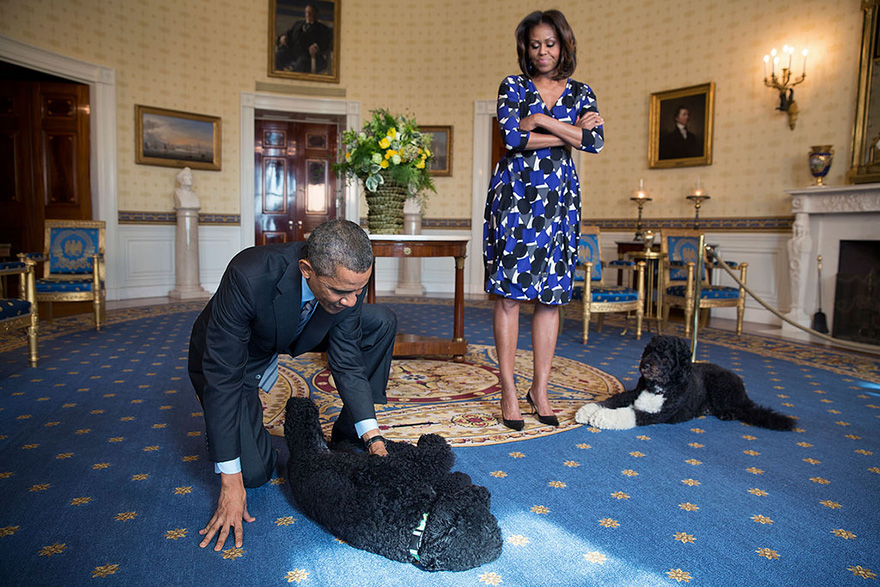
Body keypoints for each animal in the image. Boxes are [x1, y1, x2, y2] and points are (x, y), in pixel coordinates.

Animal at [282, 398, 502, 572]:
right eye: (483, 507)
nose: (484, 492)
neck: (417, 529)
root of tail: (297, 459)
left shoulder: (396, 469)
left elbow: (430, 458)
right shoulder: (398, 468)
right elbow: (428, 456)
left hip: (310, 436)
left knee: (300, 418)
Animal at [576, 336, 796, 432]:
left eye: (665, 357)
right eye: (648, 350)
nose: (645, 365)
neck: (658, 388)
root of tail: (742, 388)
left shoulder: (656, 414)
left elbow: (628, 413)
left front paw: (601, 417)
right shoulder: (634, 393)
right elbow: (614, 399)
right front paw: (588, 410)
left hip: (721, 388)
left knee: (740, 410)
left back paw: (727, 414)